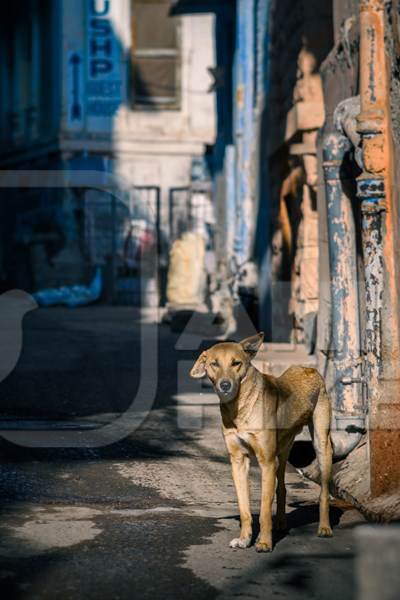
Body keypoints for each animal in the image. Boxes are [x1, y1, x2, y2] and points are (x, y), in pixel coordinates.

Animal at [189, 332, 332, 552]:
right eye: (214, 364)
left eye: (236, 363)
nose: (225, 385)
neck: (240, 408)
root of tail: (310, 369)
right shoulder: (238, 461)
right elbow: (244, 509)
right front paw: (245, 538)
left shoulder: (266, 462)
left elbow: (264, 510)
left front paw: (264, 542)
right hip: (282, 452)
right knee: (281, 487)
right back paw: (281, 522)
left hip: (320, 444)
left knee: (323, 492)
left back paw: (324, 527)